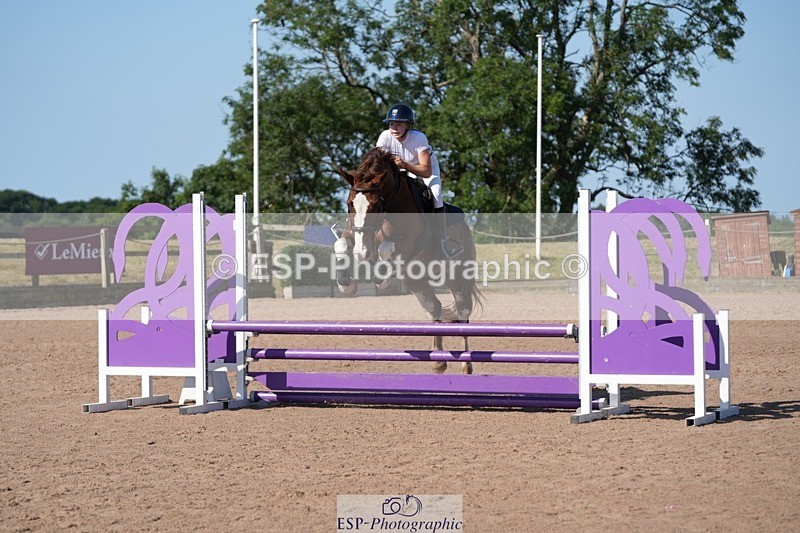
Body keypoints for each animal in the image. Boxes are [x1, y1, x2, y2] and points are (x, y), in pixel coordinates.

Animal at [333, 147, 482, 374]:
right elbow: (341, 245)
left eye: (375, 205)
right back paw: (438, 361)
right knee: (434, 307)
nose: (361, 253)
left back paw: (466, 364)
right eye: (350, 204)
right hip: (416, 281)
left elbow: (385, 248)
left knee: (463, 312)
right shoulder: (354, 234)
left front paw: (382, 279)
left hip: (458, 279)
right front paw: (346, 285)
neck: (391, 204)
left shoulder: (406, 243)